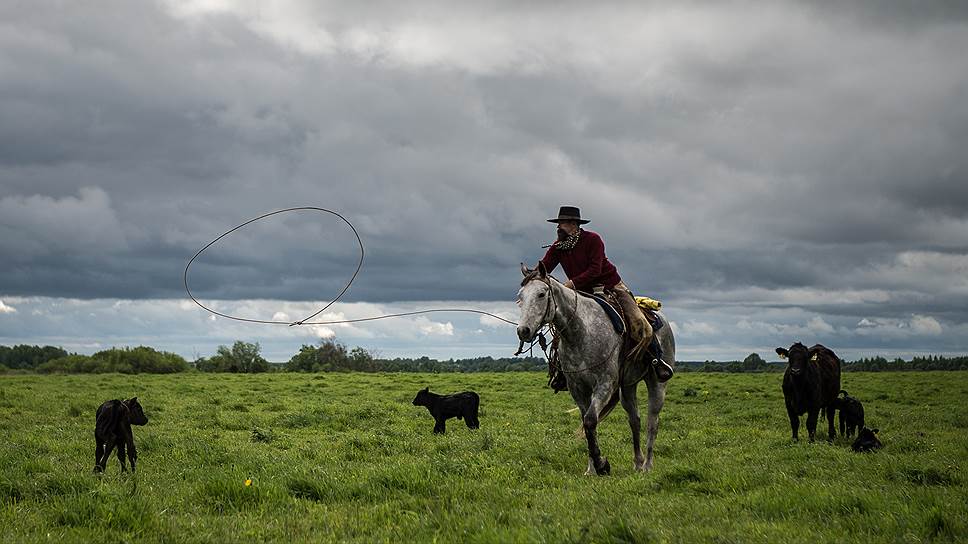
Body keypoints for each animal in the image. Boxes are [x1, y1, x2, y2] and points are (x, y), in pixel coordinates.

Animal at [516, 266, 672, 474]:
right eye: (520, 297)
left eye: (541, 294)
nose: (523, 331)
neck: (581, 331)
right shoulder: (578, 388)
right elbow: (587, 424)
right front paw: (591, 469)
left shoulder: (604, 384)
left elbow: (590, 420)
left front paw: (601, 465)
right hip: (627, 387)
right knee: (635, 420)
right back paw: (638, 463)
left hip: (656, 384)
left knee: (652, 422)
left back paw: (647, 465)